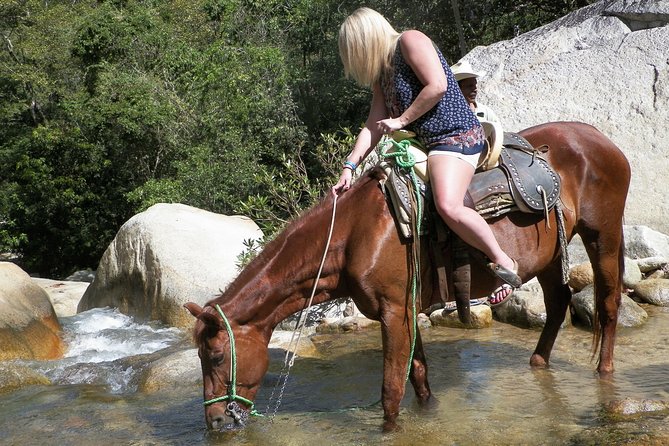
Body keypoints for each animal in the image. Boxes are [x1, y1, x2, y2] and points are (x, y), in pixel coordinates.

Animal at [184, 121, 631, 432]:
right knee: (557, 304)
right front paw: (430, 413)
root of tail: (602, 140)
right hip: (550, 255)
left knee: (608, 302)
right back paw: (538, 364)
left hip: (603, 236)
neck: (355, 232)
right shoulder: (404, 310)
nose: (216, 422)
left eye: (217, 356)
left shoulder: (393, 312)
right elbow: (417, 376)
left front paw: (390, 431)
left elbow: (391, 389)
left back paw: (605, 373)